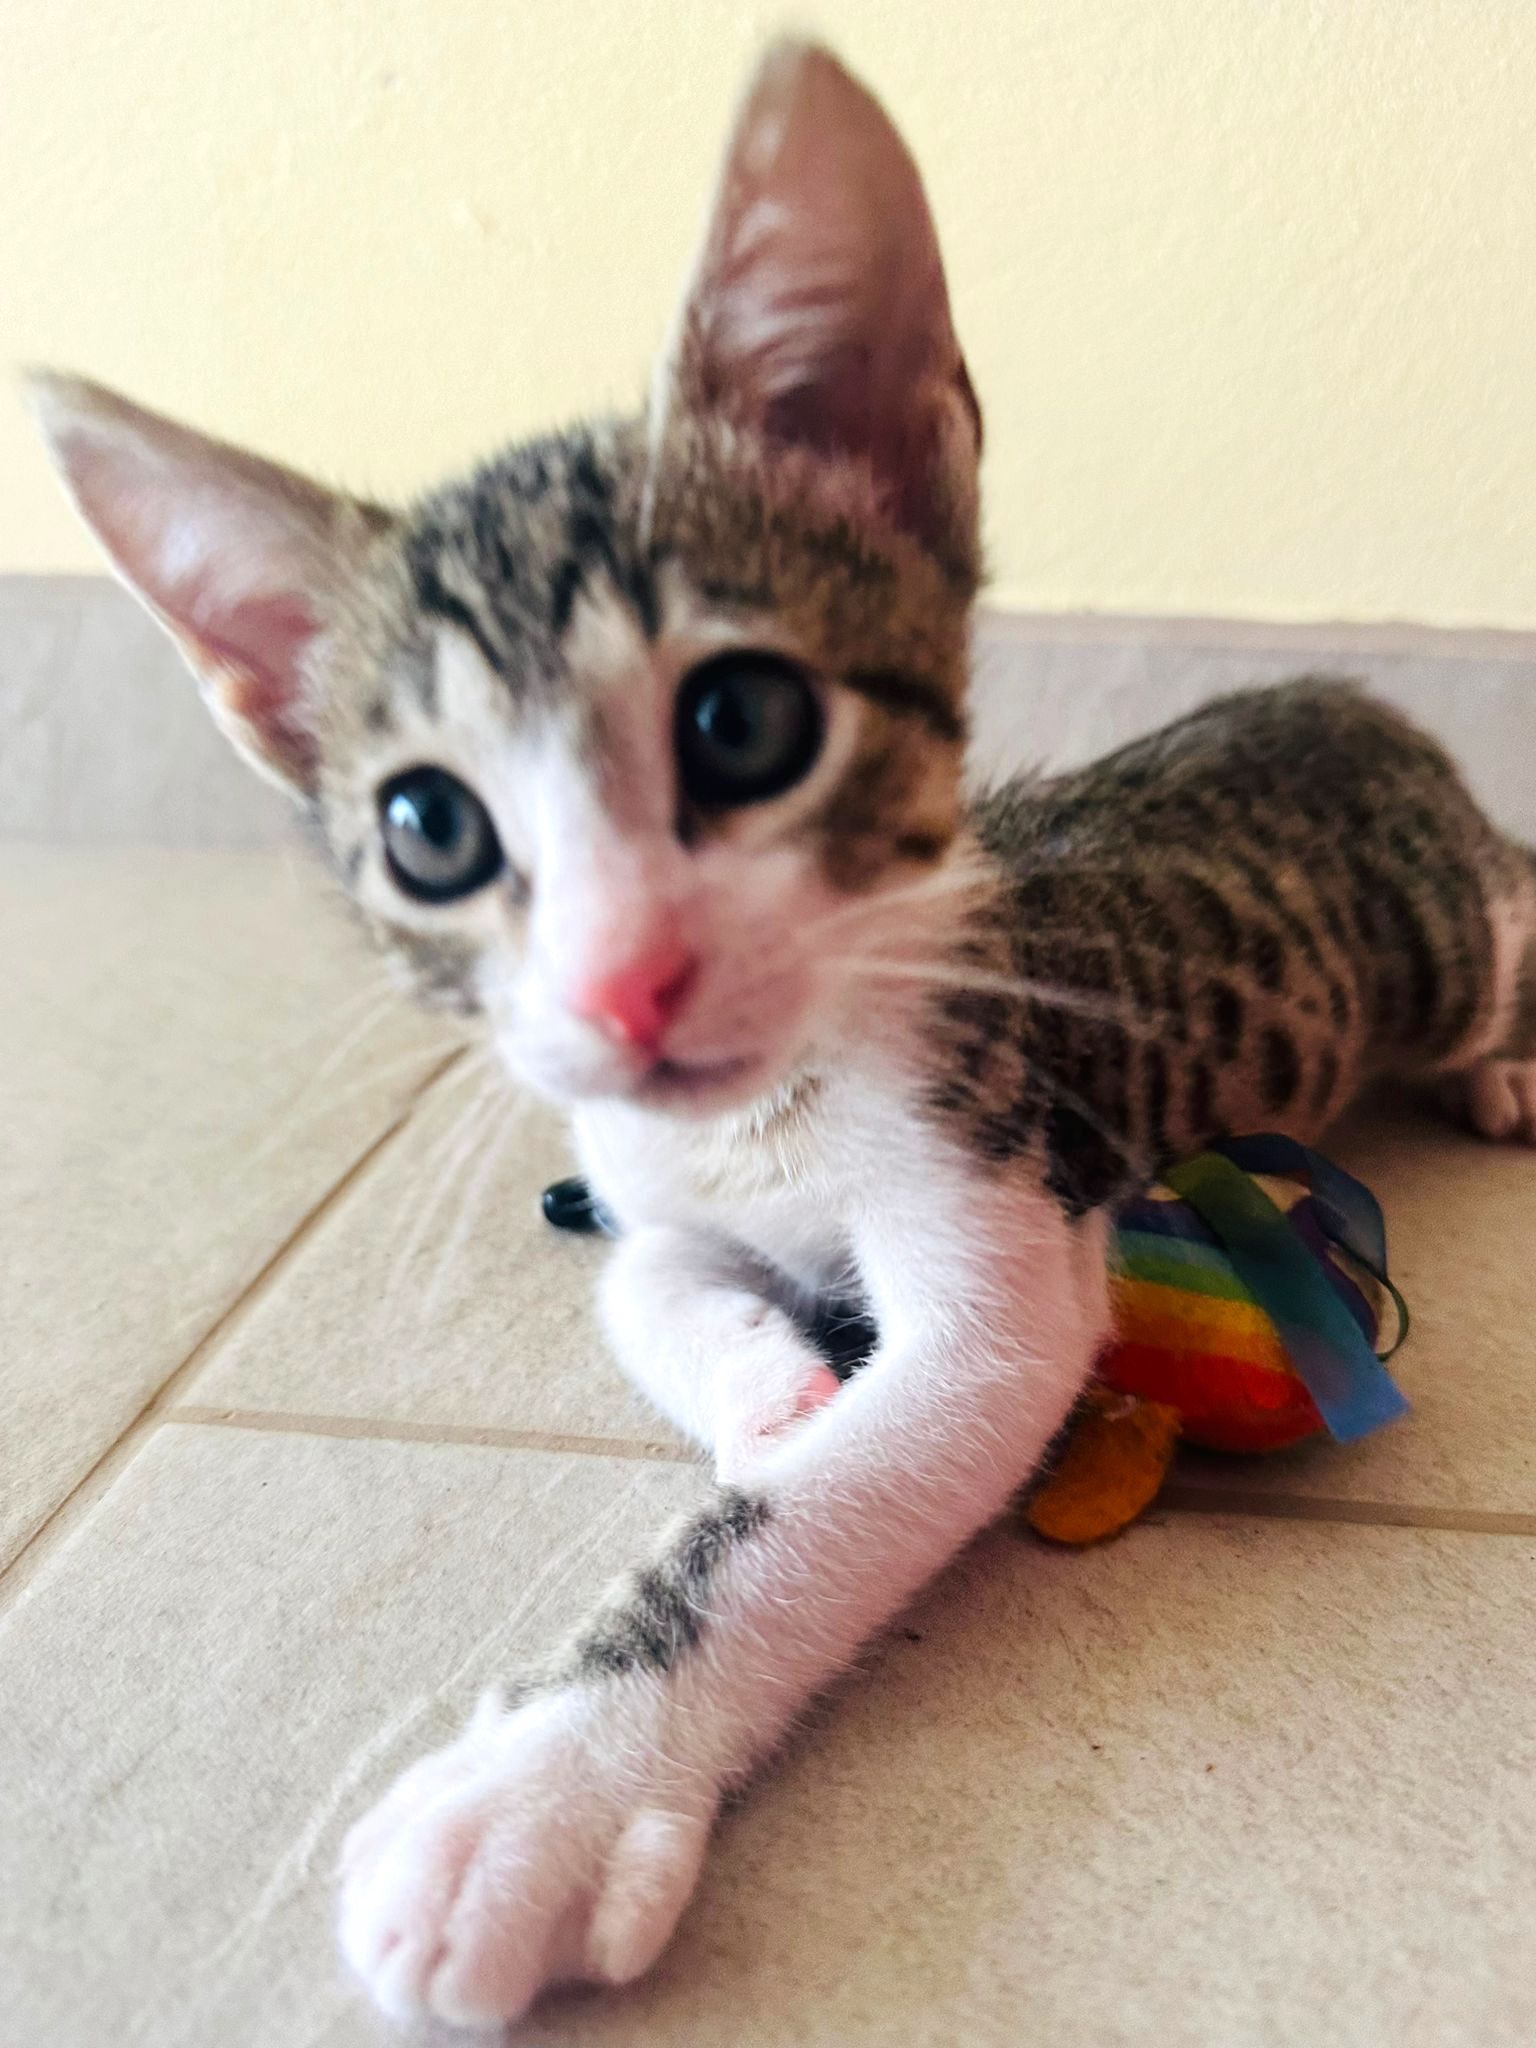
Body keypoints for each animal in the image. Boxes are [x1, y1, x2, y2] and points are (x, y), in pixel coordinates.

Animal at [27, 36, 1536, 2031]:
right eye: (428, 829)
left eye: (742, 721)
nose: (622, 988)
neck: (770, 1118)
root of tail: (1337, 688)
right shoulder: (635, 1183)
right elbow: (652, 1294)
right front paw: (764, 1387)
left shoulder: (1004, 1207)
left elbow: (828, 1499)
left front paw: (536, 1799)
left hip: (1446, 928)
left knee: (1516, 908)